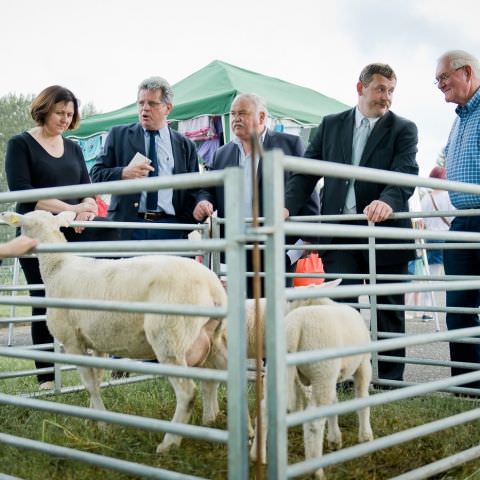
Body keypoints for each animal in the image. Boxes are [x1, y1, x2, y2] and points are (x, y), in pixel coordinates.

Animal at [0, 208, 229, 452]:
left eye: (23, 226)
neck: (58, 266)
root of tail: (213, 286)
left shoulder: (72, 341)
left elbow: (90, 384)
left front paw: (103, 426)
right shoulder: (98, 342)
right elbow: (98, 379)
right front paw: (93, 418)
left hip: (169, 336)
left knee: (187, 393)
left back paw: (169, 443)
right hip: (212, 338)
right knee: (215, 380)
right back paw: (216, 424)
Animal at [249, 294, 374, 478]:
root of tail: (294, 326)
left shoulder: (334, 376)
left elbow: (334, 404)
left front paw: (334, 439)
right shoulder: (363, 365)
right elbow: (363, 401)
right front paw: (366, 437)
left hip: (280, 372)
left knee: (264, 409)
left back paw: (257, 456)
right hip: (323, 371)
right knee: (314, 423)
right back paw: (316, 471)